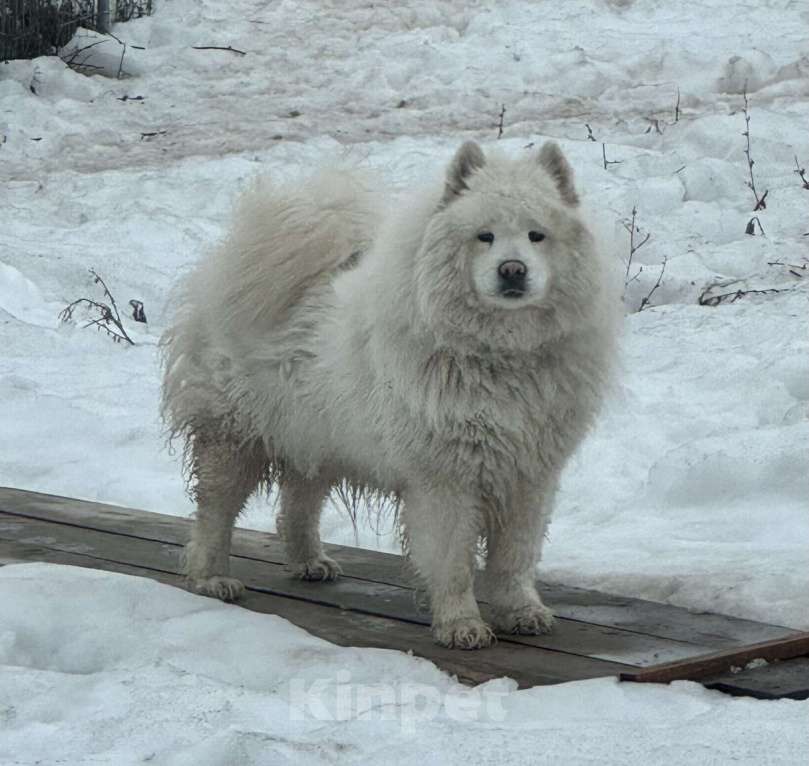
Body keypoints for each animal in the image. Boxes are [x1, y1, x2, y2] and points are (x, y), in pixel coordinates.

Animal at [164, 141, 620, 652]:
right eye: (484, 237)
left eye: (536, 236)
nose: (512, 270)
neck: (500, 353)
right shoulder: (446, 478)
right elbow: (453, 561)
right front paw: (461, 625)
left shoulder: (529, 475)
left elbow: (515, 557)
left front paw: (520, 611)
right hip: (233, 438)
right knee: (214, 513)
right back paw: (210, 578)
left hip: (319, 437)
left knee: (298, 504)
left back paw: (309, 562)